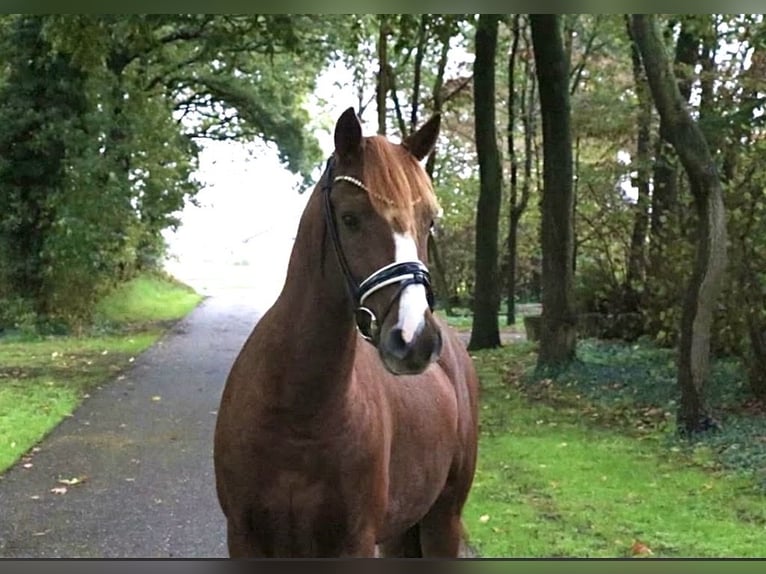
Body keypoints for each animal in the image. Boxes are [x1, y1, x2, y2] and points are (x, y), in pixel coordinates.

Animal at [213, 107, 479, 558]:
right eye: (351, 218)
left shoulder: (354, 542)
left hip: (442, 520)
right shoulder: (244, 538)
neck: (298, 413)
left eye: (428, 221)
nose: (416, 340)